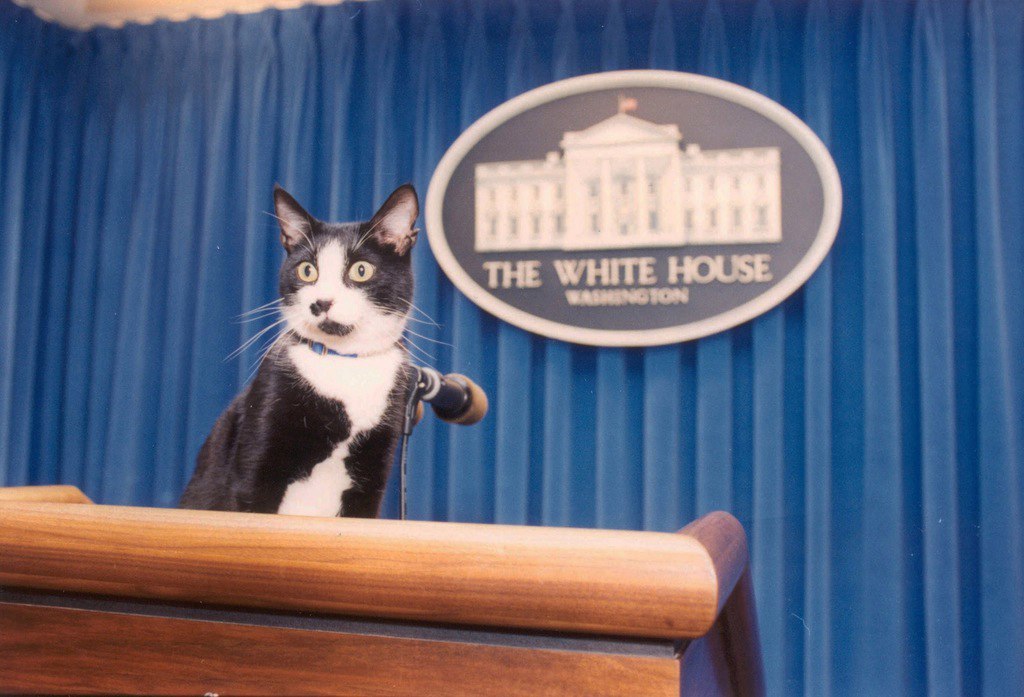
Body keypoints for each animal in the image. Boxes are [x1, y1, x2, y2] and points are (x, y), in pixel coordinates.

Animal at [178, 183, 417, 515]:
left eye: (361, 270)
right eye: (307, 270)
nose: (322, 302)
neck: (344, 365)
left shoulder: (373, 472)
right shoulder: (258, 452)